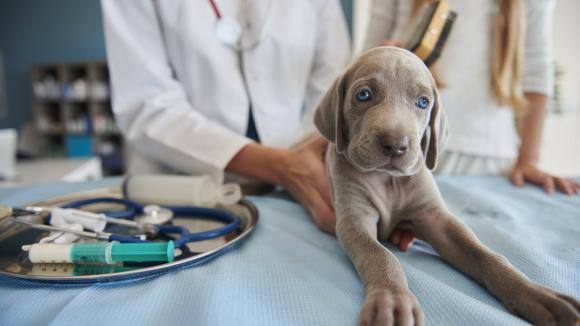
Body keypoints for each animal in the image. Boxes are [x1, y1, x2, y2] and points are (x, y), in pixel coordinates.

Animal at [318, 46, 580, 326]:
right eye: (363, 95)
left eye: (423, 102)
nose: (396, 145)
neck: (387, 179)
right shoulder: (354, 221)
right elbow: (379, 255)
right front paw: (393, 300)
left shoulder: (437, 220)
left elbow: (484, 254)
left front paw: (536, 294)